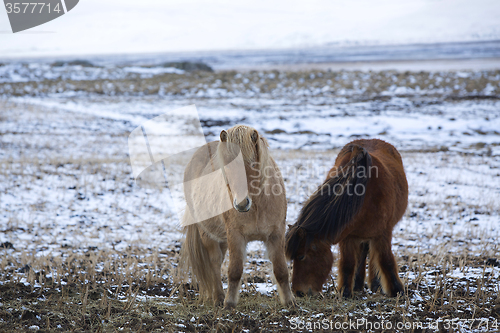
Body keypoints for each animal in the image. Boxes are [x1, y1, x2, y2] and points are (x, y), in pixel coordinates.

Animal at [180, 124, 294, 308]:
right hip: (208, 234)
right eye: (226, 167)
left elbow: (281, 270)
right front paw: (229, 303)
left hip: (223, 239)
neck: (257, 206)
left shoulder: (276, 234)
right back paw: (218, 298)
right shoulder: (235, 235)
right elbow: (234, 271)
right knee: (214, 262)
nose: (241, 204)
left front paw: (290, 303)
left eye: (253, 164)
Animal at [286, 139, 406, 296]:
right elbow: (348, 263)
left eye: (301, 256)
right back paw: (358, 284)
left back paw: (375, 285)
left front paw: (397, 290)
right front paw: (346, 292)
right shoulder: (347, 236)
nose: (298, 292)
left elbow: (386, 260)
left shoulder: (383, 233)